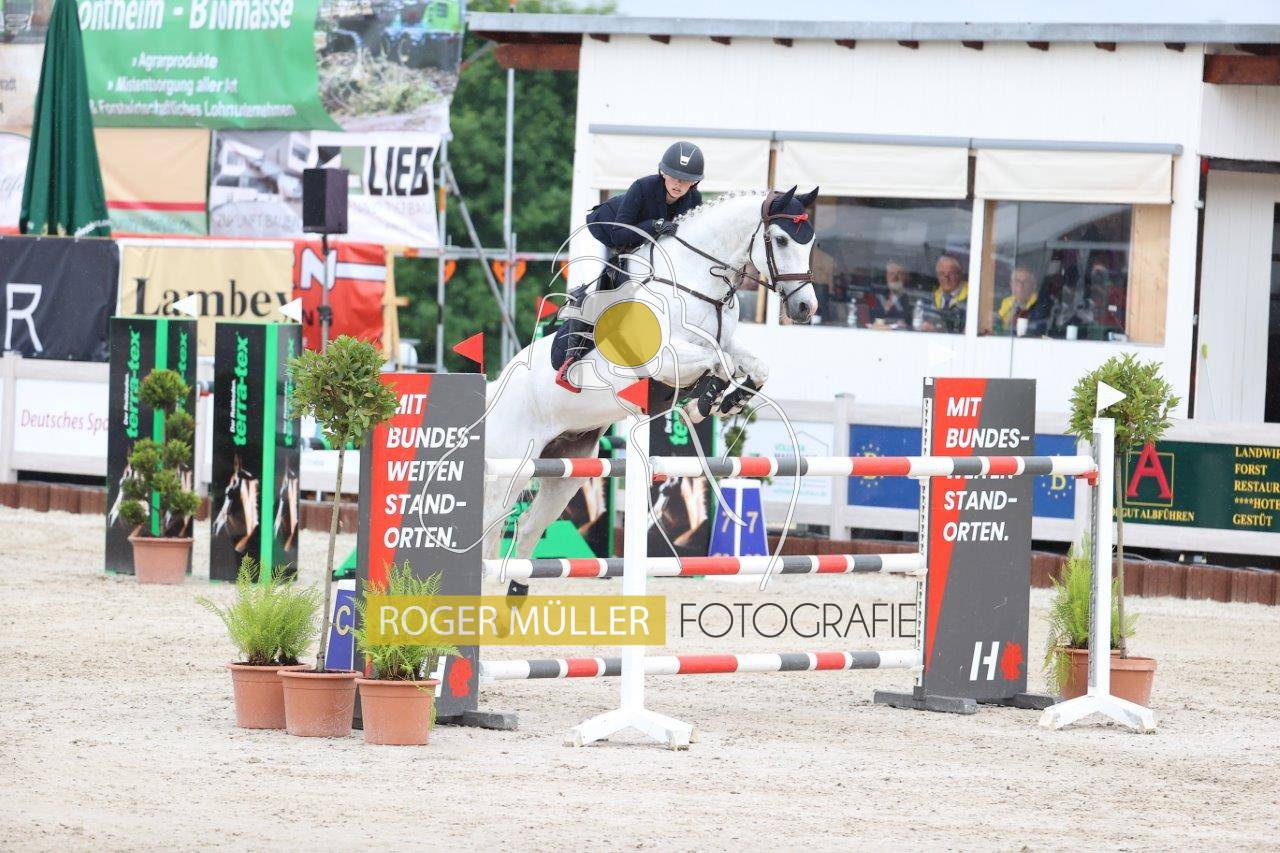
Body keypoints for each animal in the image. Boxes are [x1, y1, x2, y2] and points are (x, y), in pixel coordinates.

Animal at [481, 187, 819, 584]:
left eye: (810, 241)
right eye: (781, 239)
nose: (805, 307)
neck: (697, 283)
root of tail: (496, 387)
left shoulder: (723, 343)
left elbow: (753, 366)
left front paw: (728, 400)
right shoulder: (664, 359)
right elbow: (718, 362)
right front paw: (702, 403)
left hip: (566, 471)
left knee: (528, 530)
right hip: (509, 468)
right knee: (490, 526)